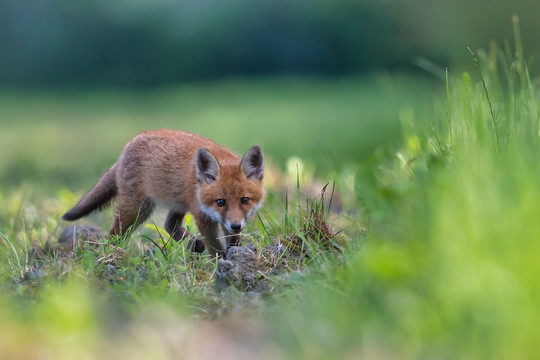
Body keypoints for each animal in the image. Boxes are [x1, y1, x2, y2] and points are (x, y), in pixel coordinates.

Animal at [62, 129, 264, 256]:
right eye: (220, 202)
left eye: (245, 200)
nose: (236, 225)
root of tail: (128, 144)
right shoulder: (202, 216)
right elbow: (215, 248)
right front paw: (220, 264)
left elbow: (233, 242)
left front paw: (233, 256)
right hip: (137, 209)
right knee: (113, 235)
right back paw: (112, 254)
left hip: (177, 202)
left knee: (169, 224)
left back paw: (193, 244)